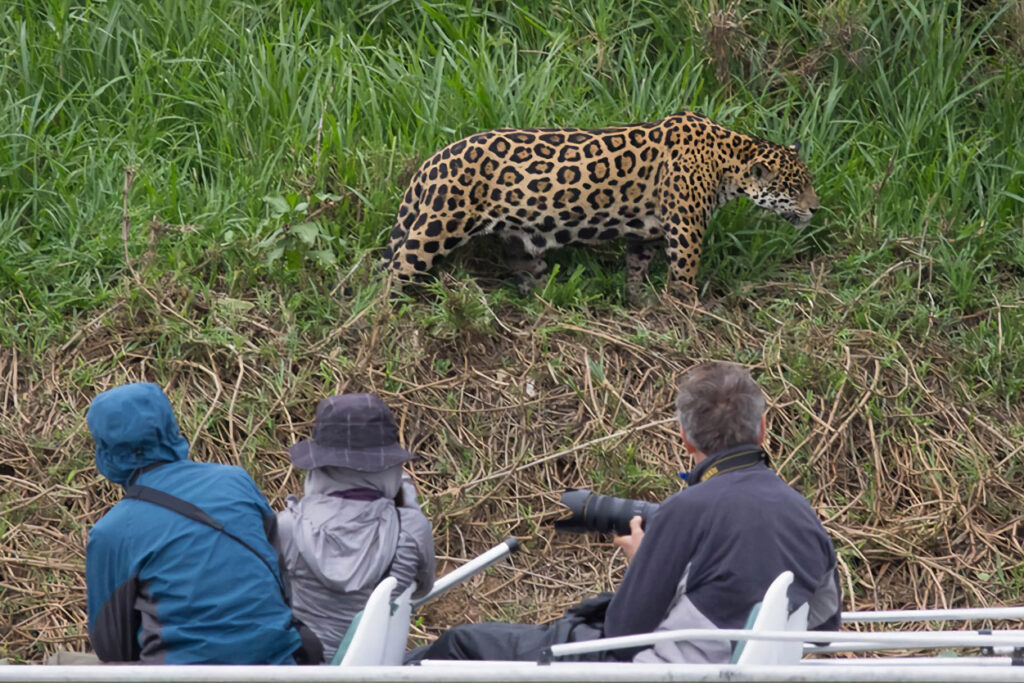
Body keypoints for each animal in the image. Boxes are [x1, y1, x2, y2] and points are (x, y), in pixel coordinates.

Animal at [382, 111, 820, 304]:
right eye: (796, 187)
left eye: (809, 182)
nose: (816, 209)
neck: (728, 159)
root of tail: (431, 162)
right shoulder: (686, 229)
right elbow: (684, 273)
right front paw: (688, 308)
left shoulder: (648, 230)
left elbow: (637, 266)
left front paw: (636, 300)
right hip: (438, 225)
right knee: (395, 269)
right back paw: (389, 311)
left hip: (516, 239)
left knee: (528, 272)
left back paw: (547, 305)